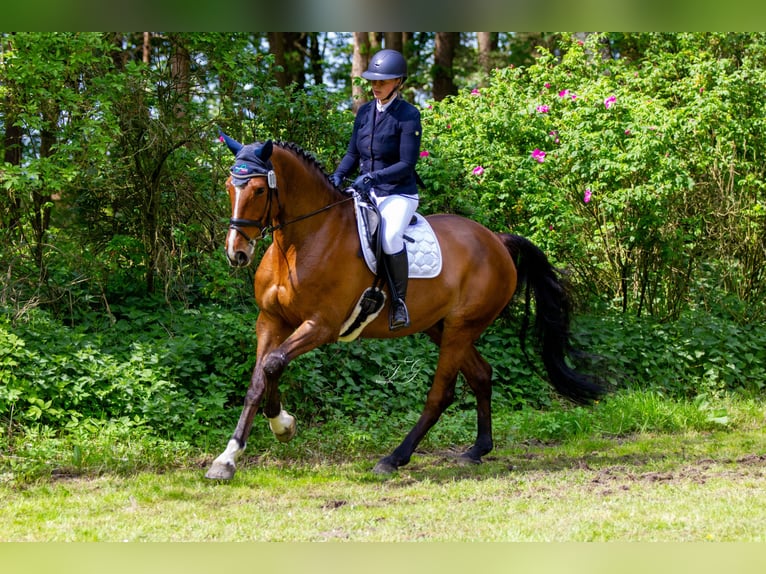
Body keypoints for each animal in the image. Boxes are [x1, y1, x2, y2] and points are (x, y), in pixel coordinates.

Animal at [206, 136, 608, 482]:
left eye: (259, 190)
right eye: (229, 186)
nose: (236, 253)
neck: (302, 240)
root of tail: (496, 240)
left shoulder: (322, 325)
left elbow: (273, 365)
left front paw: (282, 425)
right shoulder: (271, 320)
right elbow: (259, 379)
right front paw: (229, 457)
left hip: (461, 327)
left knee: (441, 394)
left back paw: (394, 458)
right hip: (440, 326)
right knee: (481, 375)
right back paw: (477, 450)